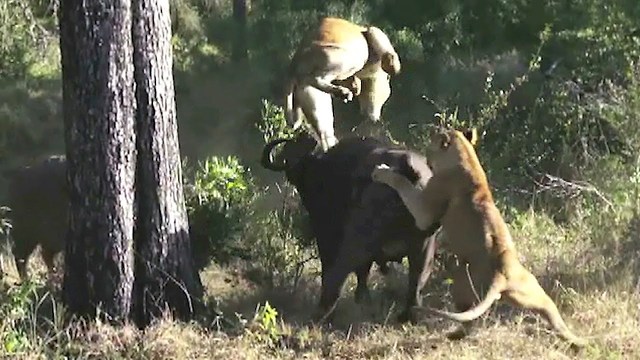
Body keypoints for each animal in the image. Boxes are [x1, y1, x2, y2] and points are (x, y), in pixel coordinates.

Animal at [260, 131, 440, 320]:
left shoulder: (326, 233)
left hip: (358, 238)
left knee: (339, 272)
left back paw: (321, 312)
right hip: (424, 245)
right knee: (417, 280)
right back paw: (408, 314)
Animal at [372, 128, 588, 348]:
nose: (426, 156)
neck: (466, 159)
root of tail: (501, 275)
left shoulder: (425, 210)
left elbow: (403, 184)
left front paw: (382, 171)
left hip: (461, 282)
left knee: (469, 321)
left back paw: (452, 335)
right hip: (535, 295)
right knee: (551, 315)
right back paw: (579, 342)